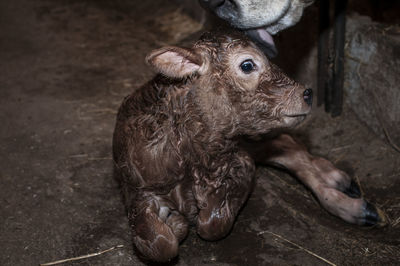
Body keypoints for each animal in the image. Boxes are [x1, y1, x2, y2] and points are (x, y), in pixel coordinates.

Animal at [111, 31, 386, 262]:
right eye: (247, 65)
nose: (307, 94)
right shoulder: (137, 191)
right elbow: (160, 245)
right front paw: (176, 224)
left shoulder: (241, 163)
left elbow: (212, 224)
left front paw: (185, 220)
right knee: (283, 146)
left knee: (286, 143)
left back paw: (344, 194)